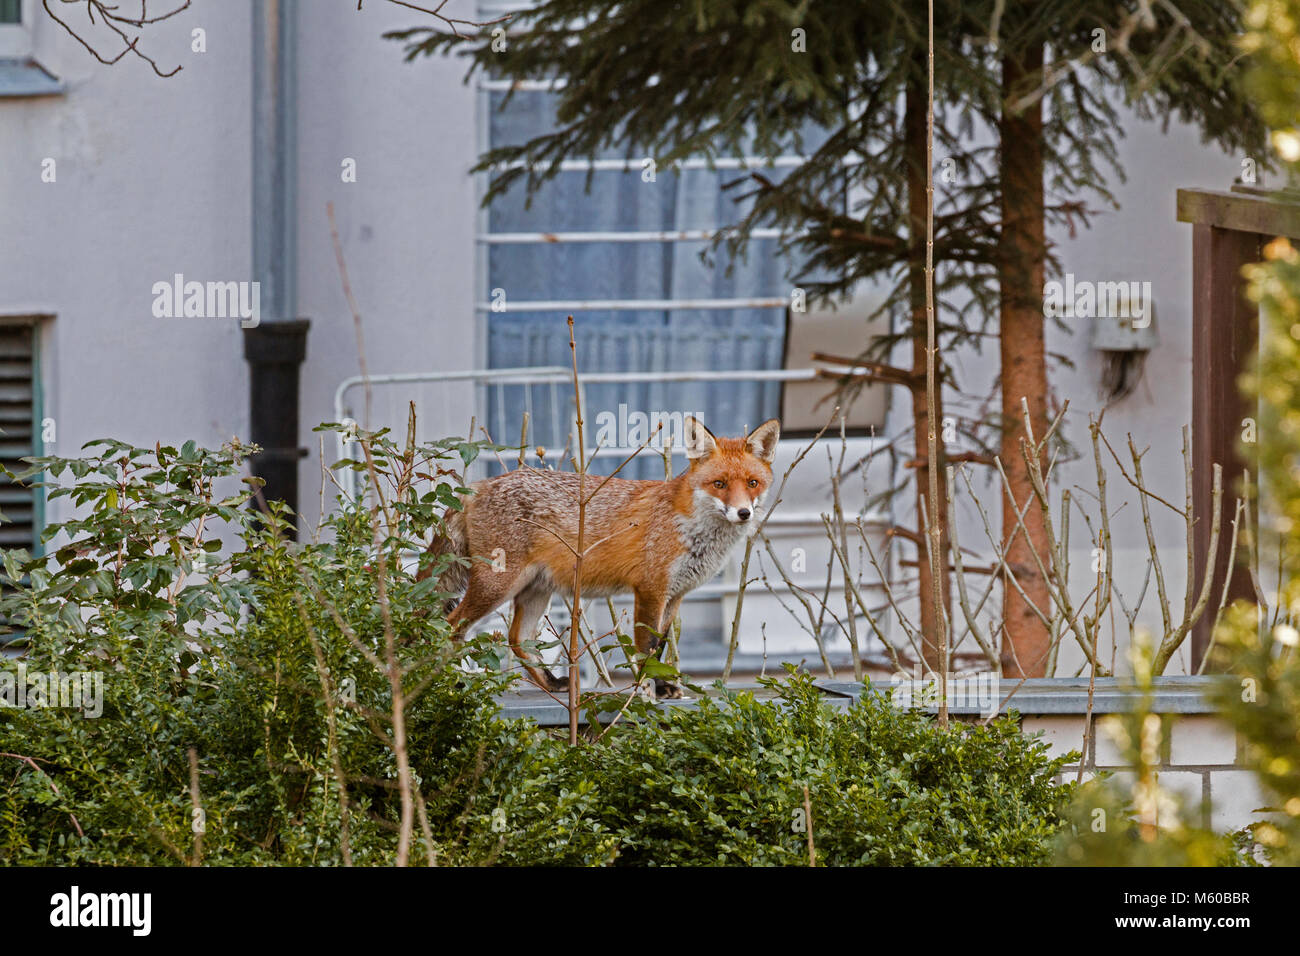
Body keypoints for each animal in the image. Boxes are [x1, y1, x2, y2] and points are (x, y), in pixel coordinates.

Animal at [424, 416, 780, 698]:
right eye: (719, 484)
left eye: (752, 483)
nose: (744, 513)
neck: (690, 529)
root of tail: (479, 485)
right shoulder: (650, 590)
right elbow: (645, 649)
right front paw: (647, 689)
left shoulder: (675, 594)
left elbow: (660, 647)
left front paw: (661, 686)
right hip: (497, 585)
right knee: (450, 627)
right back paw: (450, 683)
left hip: (535, 588)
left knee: (517, 638)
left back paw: (551, 683)